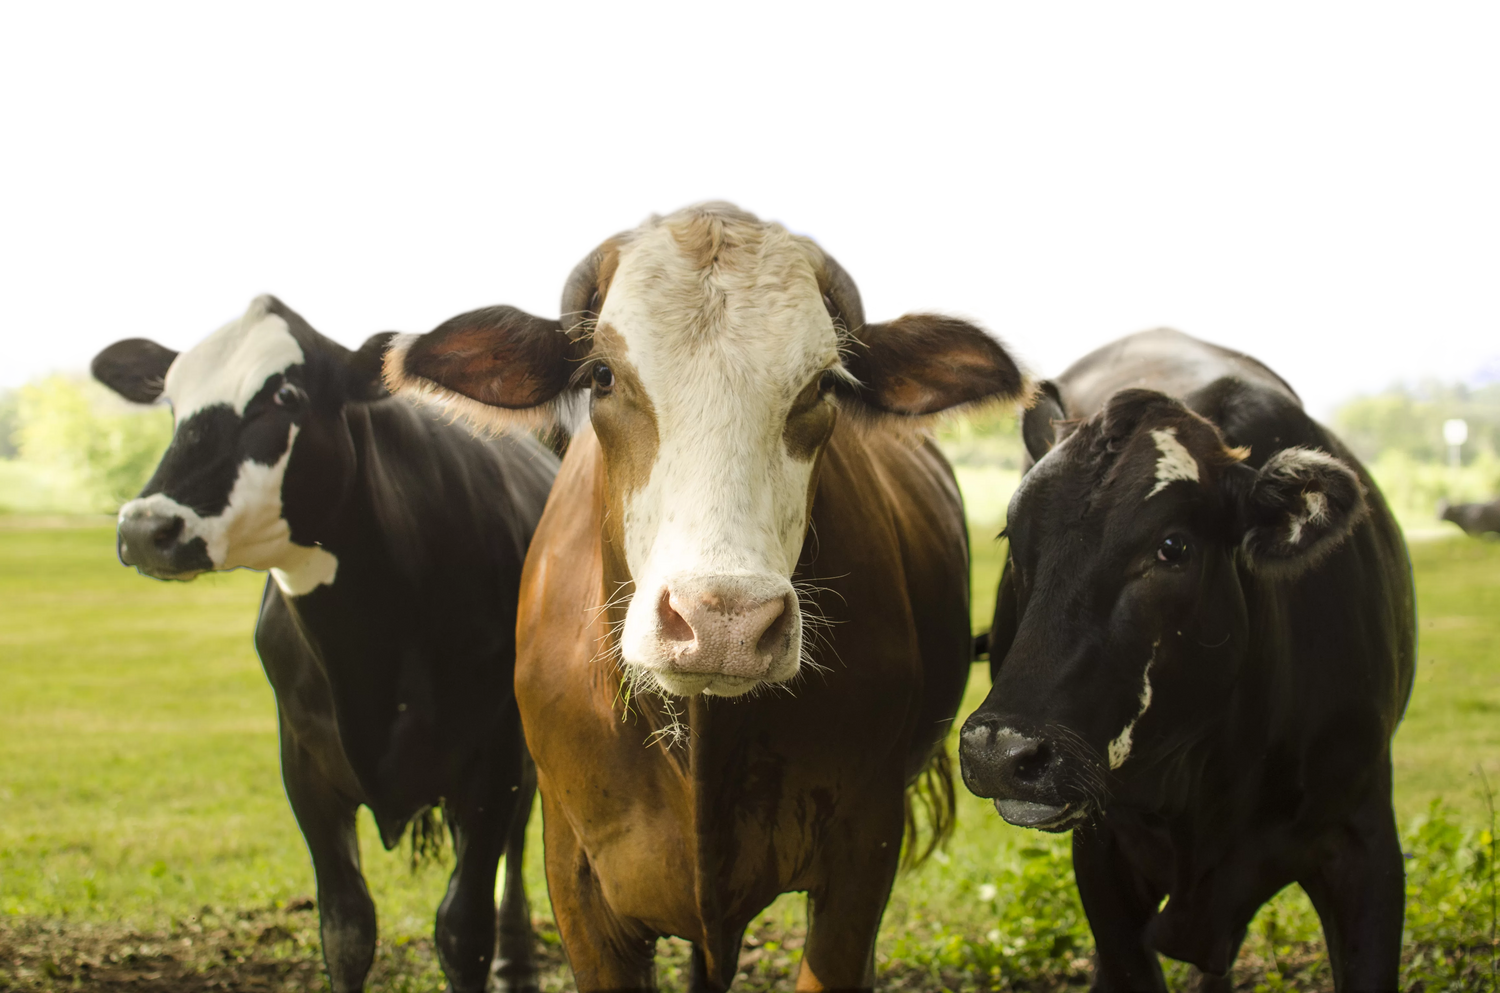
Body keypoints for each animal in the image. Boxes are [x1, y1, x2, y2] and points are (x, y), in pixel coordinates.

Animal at [87, 289, 558, 993]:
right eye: (172, 401)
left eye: (286, 396)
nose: (146, 529)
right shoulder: (304, 765)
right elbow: (346, 928)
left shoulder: (491, 759)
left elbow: (462, 929)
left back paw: (517, 961)